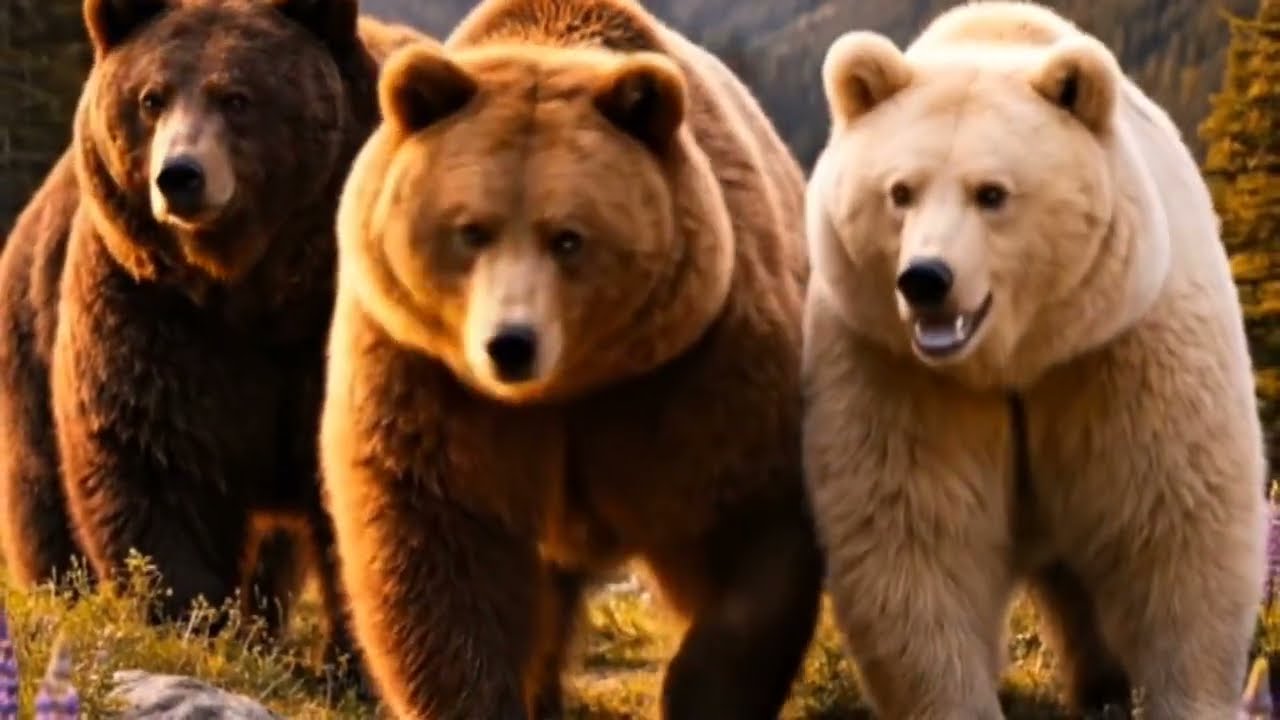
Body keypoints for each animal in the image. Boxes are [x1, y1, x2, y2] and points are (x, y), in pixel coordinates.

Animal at [0, 0, 428, 671]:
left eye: (237, 97)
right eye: (151, 97)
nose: (179, 175)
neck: (253, 286)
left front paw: (355, 665)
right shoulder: (151, 309)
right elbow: (156, 463)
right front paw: (191, 626)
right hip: (32, 333)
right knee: (42, 495)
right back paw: (63, 595)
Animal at [317, 0, 821, 716]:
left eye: (569, 238)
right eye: (470, 230)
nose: (510, 344)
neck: (570, 387)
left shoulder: (694, 372)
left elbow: (746, 530)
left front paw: (702, 690)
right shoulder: (429, 378)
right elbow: (439, 560)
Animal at [802, 2, 1268, 718]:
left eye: (991, 193)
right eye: (900, 192)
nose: (925, 279)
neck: (1017, 359)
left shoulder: (1120, 351)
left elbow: (1176, 530)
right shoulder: (898, 374)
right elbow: (916, 541)